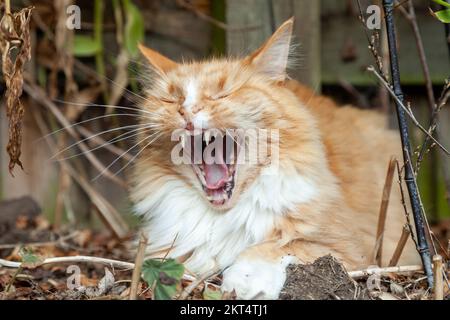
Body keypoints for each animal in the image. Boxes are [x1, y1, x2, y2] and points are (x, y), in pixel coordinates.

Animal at [132, 18, 420, 300]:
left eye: (222, 94)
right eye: (171, 99)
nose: (187, 111)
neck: (224, 214)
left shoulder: (343, 248)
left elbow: (272, 248)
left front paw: (245, 282)